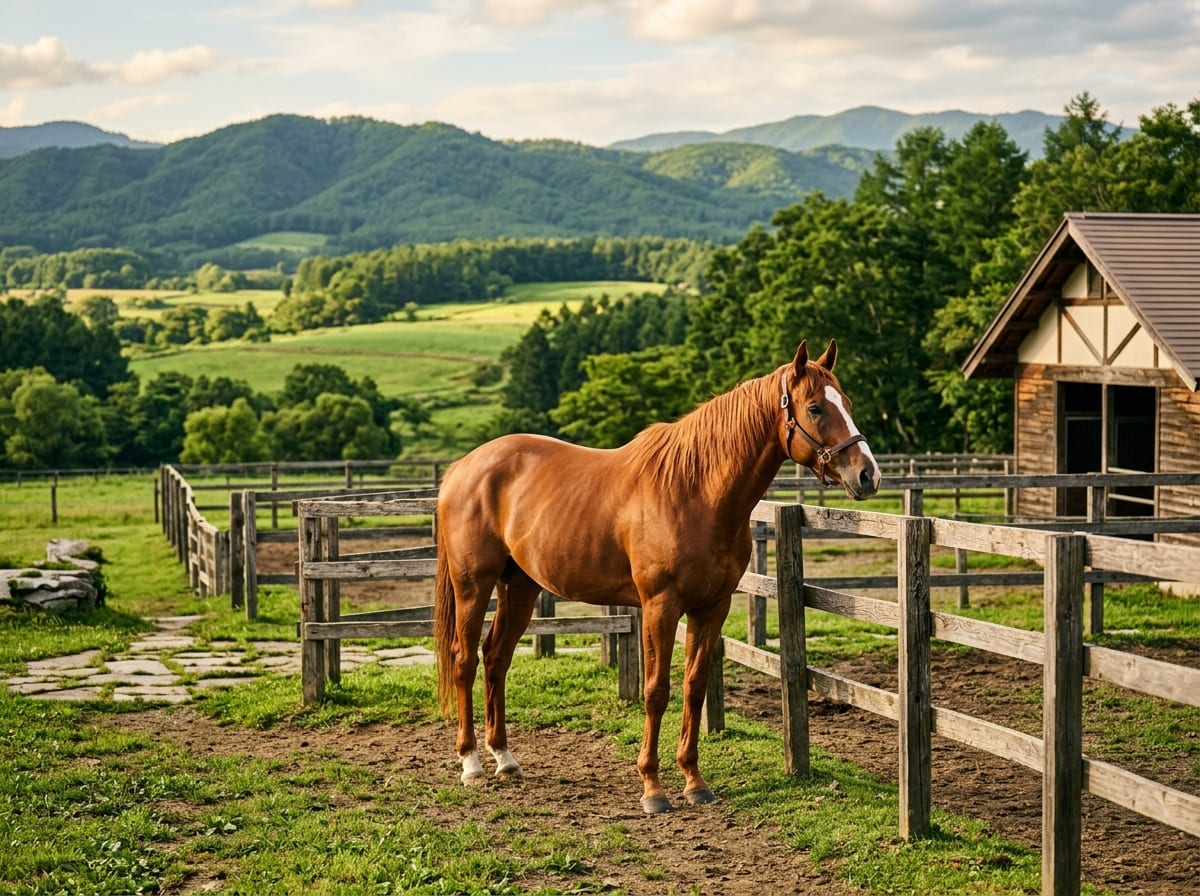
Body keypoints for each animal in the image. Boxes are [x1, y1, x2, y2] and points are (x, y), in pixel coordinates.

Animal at [433, 339, 880, 814]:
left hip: (519, 586)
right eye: (815, 407)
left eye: (847, 404)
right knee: (464, 659)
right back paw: (471, 764)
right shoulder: (659, 606)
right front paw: (653, 788)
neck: (695, 491)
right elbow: (656, 690)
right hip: (473, 585)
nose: (868, 474)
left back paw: (504, 758)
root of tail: (464, 466)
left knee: (496, 657)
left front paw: (694, 781)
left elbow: (694, 687)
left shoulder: (711, 607)